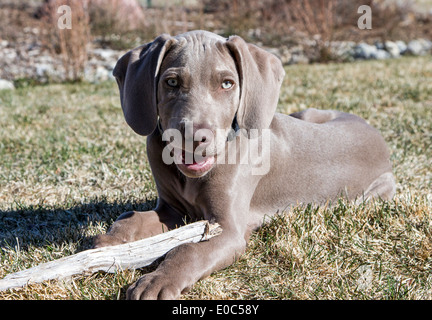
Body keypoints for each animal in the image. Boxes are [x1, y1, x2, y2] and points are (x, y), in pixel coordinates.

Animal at [93, 30, 394, 300]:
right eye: (172, 82)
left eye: (227, 84)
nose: (195, 137)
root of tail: (373, 130)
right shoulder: (171, 210)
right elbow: (131, 216)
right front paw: (111, 243)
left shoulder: (228, 231)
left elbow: (188, 250)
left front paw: (157, 281)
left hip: (374, 193)